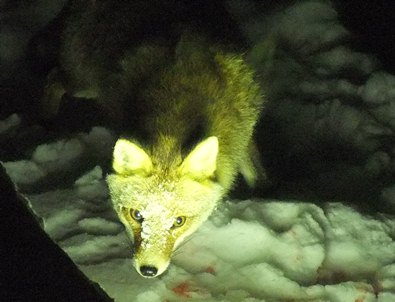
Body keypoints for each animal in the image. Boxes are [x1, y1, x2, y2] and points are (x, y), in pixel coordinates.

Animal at [41, 0, 266, 278]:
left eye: (179, 221)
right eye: (136, 215)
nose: (148, 270)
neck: (180, 97)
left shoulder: (244, 134)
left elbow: (255, 171)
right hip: (85, 85)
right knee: (53, 79)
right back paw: (45, 123)